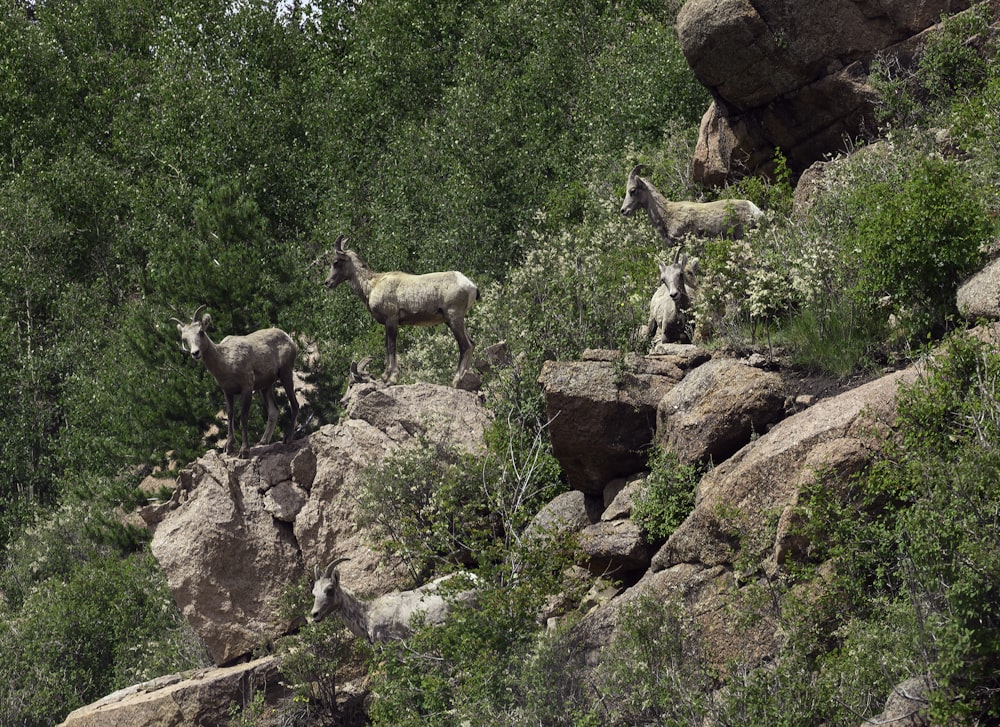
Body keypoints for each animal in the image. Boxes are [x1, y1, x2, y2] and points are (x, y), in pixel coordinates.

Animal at [174, 308, 298, 460]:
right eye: (184, 339)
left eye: (201, 331)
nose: (195, 353)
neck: (226, 361)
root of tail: (289, 338)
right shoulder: (227, 391)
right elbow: (230, 415)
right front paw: (229, 447)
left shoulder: (247, 388)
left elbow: (243, 417)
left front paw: (244, 451)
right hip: (265, 386)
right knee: (274, 411)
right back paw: (262, 442)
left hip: (286, 374)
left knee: (295, 404)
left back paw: (288, 438)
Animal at [320, 236, 476, 390]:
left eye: (336, 262)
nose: (327, 282)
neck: (372, 286)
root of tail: (471, 286)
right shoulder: (387, 324)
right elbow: (387, 346)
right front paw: (384, 377)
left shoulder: (392, 320)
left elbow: (391, 347)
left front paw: (391, 380)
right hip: (454, 320)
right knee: (472, 343)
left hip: (454, 318)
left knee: (465, 345)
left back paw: (455, 382)